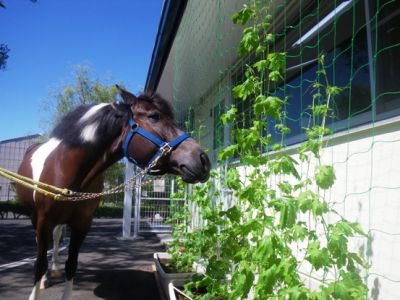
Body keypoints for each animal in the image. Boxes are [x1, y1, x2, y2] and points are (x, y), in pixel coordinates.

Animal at [17, 85, 211, 298]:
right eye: (154, 116)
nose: (203, 159)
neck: (68, 171)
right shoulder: (43, 220)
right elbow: (39, 264)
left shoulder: (82, 223)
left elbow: (71, 265)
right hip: (36, 217)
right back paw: (46, 277)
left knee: (57, 235)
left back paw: (54, 268)